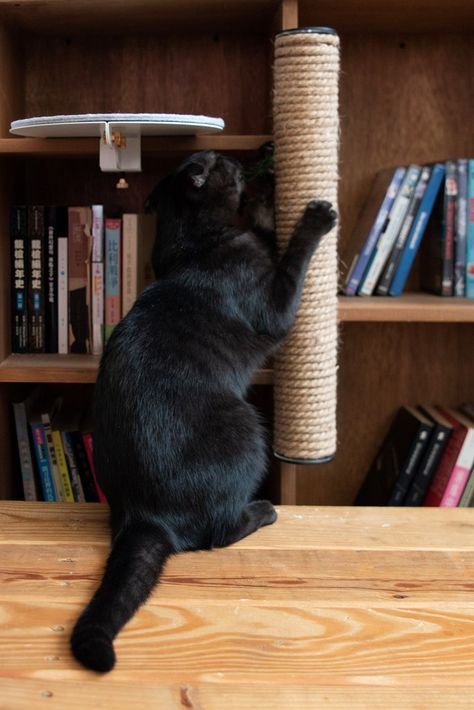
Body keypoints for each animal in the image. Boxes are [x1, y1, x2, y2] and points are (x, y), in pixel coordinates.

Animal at [70, 150, 336, 672]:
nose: (242, 159)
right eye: (225, 164)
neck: (192, 244)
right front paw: (313, 216)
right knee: (216, 534)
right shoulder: (274, 306)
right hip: (248, 430)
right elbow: (293, 258)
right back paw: (262, 511)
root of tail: (143, 517)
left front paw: (269, 197)